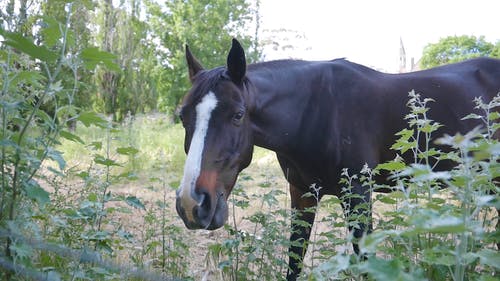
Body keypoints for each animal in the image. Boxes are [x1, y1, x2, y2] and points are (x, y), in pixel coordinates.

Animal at [177, 38, 500, 278]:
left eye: (237, 115)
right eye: (182, 116)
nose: (192, 204)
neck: (315, 110)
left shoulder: (357, 194)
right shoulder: (302, 193)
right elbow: (295, 261)